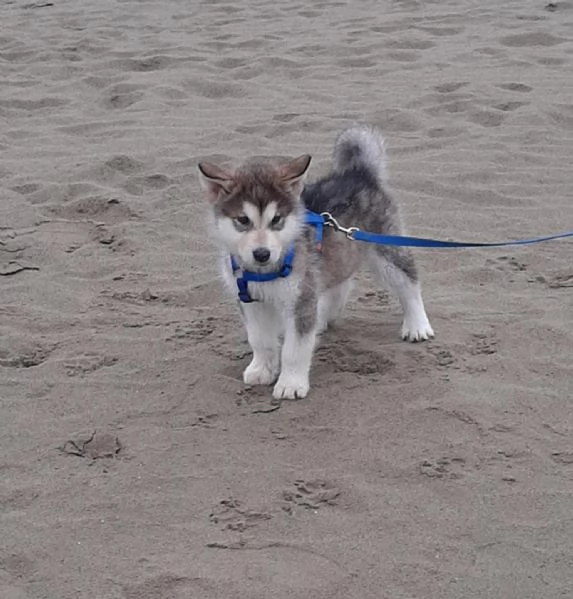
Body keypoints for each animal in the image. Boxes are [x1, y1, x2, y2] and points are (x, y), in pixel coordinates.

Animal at [199, 125, 432, 400]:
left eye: (276, 219)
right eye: (243, 220)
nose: (262, 253)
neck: (265, 271)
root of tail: (359, 173)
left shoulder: (300, 297)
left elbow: (294, 349)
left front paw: (290, 383)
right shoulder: (250, 299)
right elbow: (260, 339)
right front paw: (261, 369)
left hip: (386, 251)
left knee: (408, 282)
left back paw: (417, 325)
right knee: (339, 284)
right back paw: (322, 317)